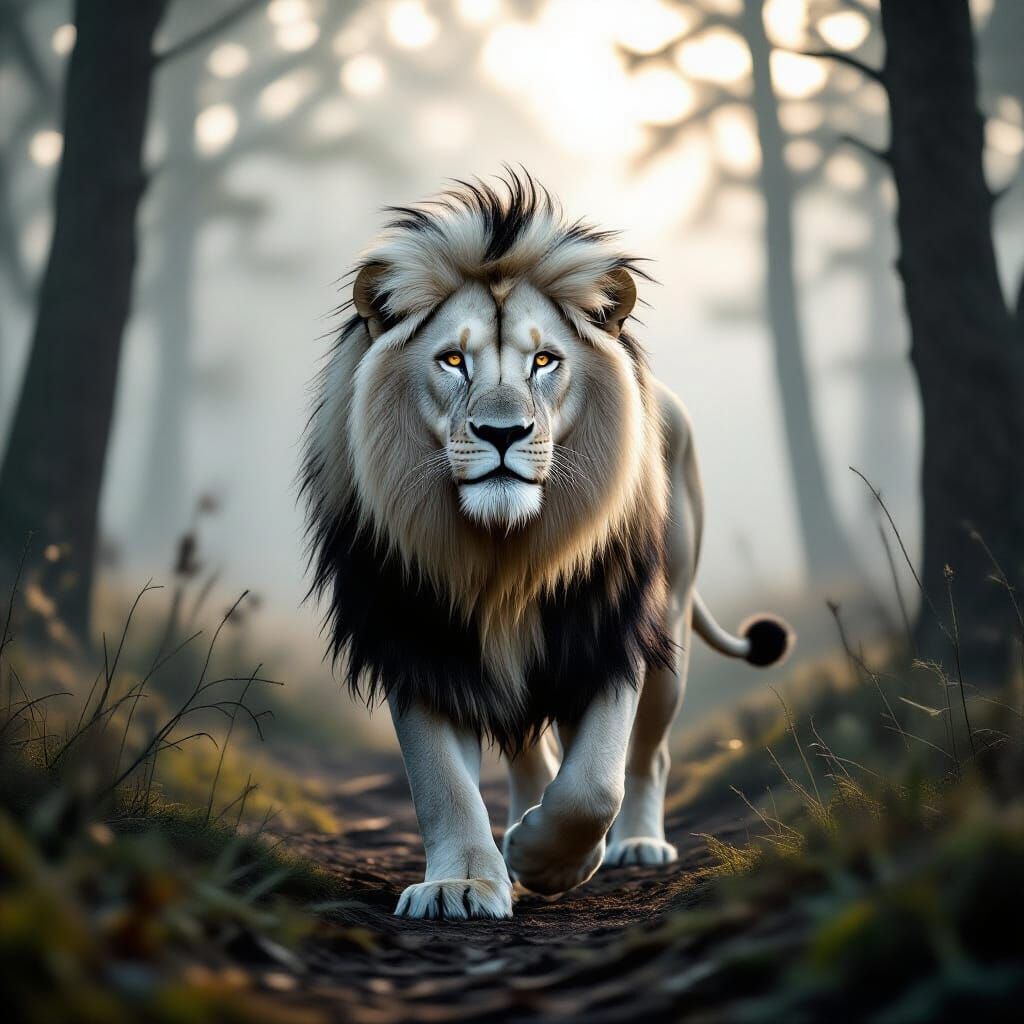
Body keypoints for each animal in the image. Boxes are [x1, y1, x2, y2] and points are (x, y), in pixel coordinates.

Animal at [303, 172, 792, 920]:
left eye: (544, 361)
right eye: (453, 360)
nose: (502, 432)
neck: (505, 556)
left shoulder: (607, 628)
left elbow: (594, 784)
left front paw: (551, 859)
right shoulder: (416, 637)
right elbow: (442, 783)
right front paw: (463, 883)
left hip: (672, 632)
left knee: (648, 756)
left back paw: (634, 844)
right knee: (527, 747)